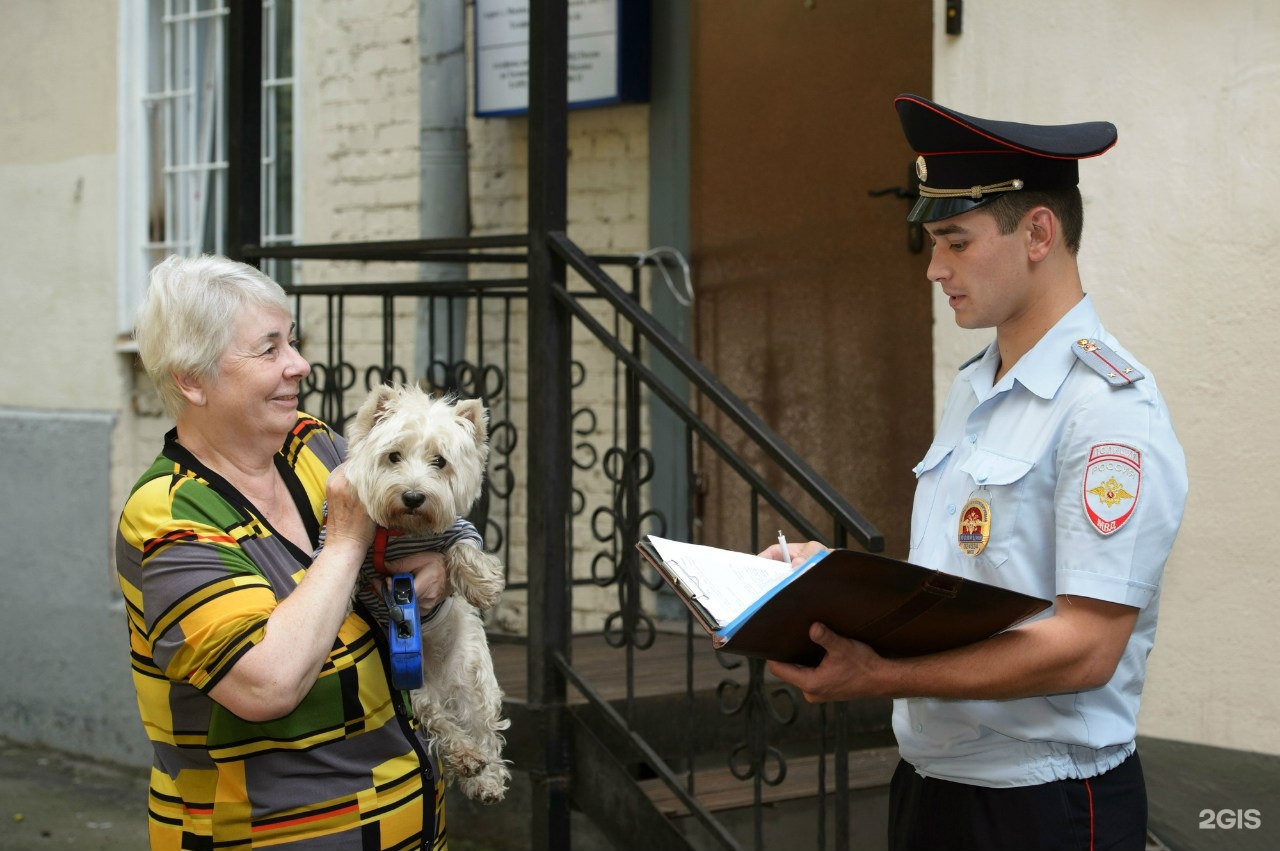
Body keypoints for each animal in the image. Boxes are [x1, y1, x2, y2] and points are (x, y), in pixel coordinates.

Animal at [350, 383, 514, 803]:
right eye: (393, 455)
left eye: (440, 461)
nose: (412, 496)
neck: (402, 531)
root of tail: (440, 679)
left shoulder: (457, 530)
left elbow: (463, 548)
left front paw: (485, 585)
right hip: (412, 685)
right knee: (438, 721)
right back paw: (465, 757)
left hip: (473, 675)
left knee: (483, 728)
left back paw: (485, 779)